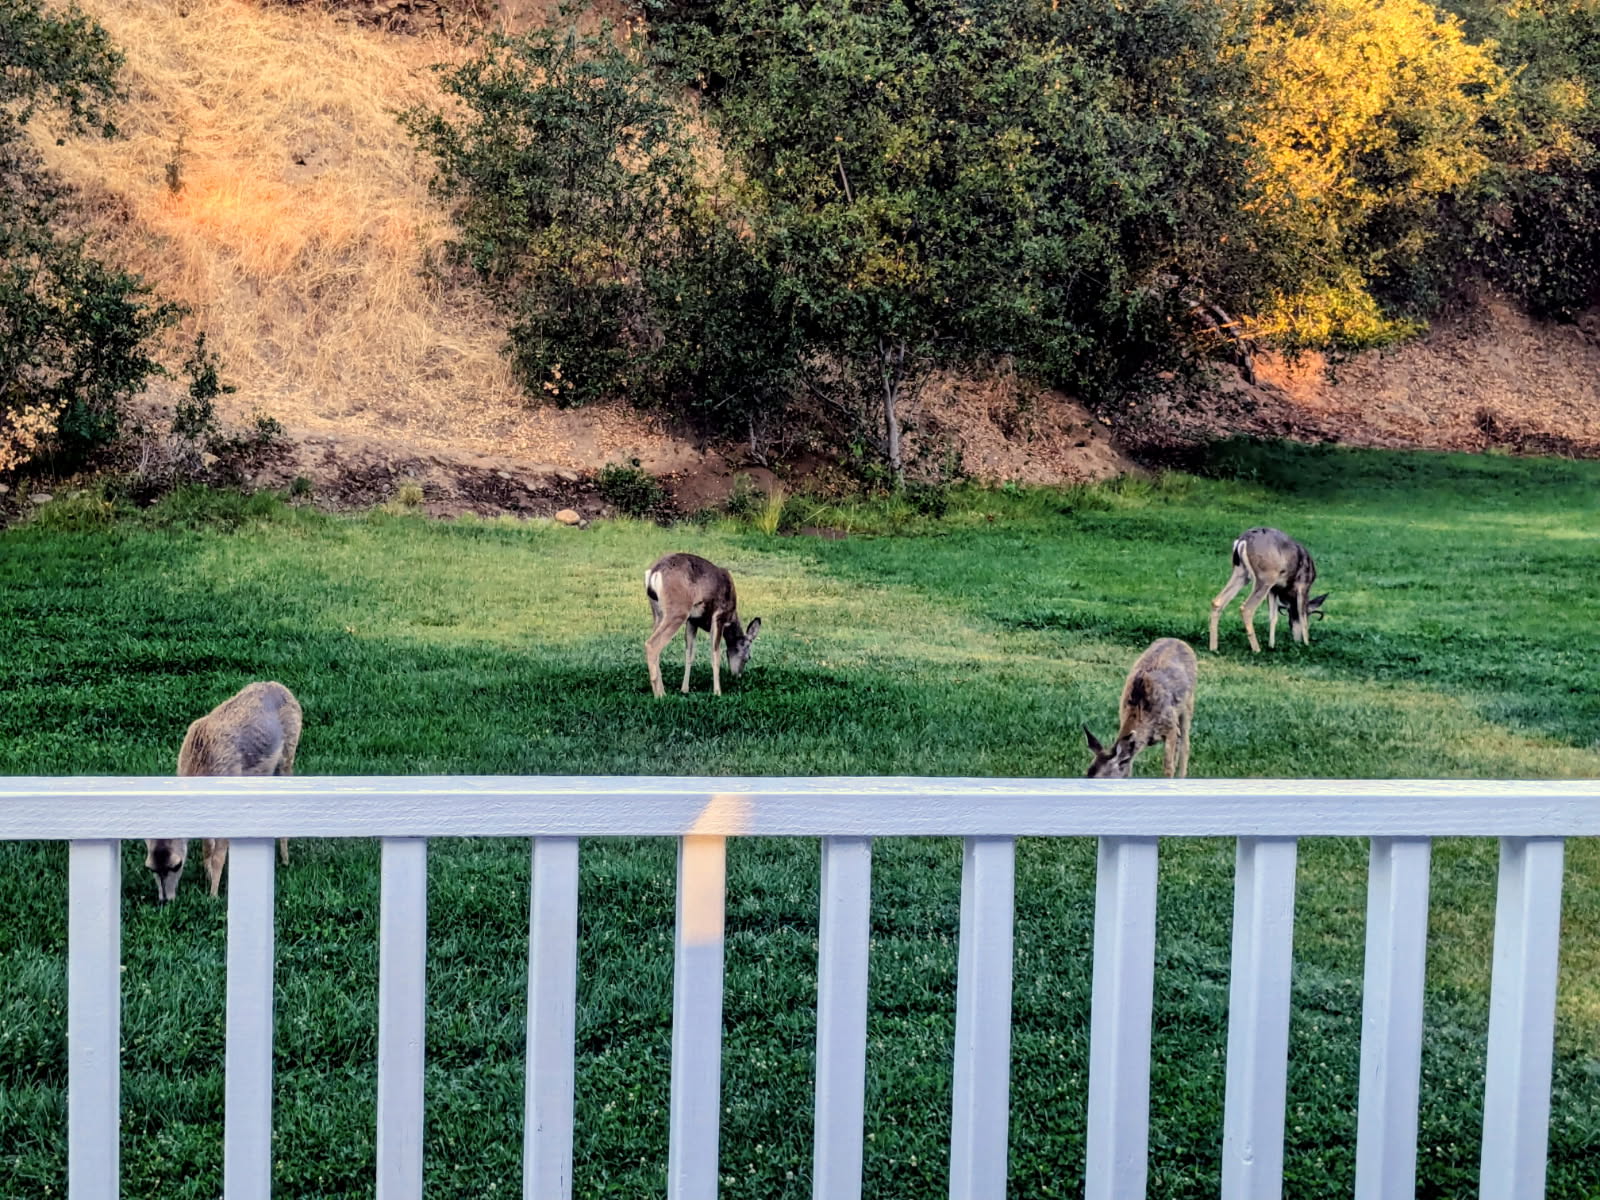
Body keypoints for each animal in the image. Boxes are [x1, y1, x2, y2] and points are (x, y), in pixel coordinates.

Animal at [145, 681, 299, 904]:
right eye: (150, 867)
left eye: (177, 864)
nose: (166, 900)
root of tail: (282, 688)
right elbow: (207, 846)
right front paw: (208, 876)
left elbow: (219, 856)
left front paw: (213, 895)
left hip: (287, 758)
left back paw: (285, 860)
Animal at [644, 553, 762, 698]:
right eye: (749, 657)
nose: (738, 676)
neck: (731, 617)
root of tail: (654, 572)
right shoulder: (718, 617)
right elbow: (715, 655)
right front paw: (717, 692)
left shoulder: (692, 621)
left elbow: (689, 655)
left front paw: (684, 689)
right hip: (678, 611)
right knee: (652, 644)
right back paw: (660, 695)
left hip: (657, 613)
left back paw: (661, 690)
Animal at [1083, 638, 1198, 779]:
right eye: (1087, 773)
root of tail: (1179, 641)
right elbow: (1129, 766)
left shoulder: (1170, 726)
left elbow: (1168, 768)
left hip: (1188, 704)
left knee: (1185, 745)